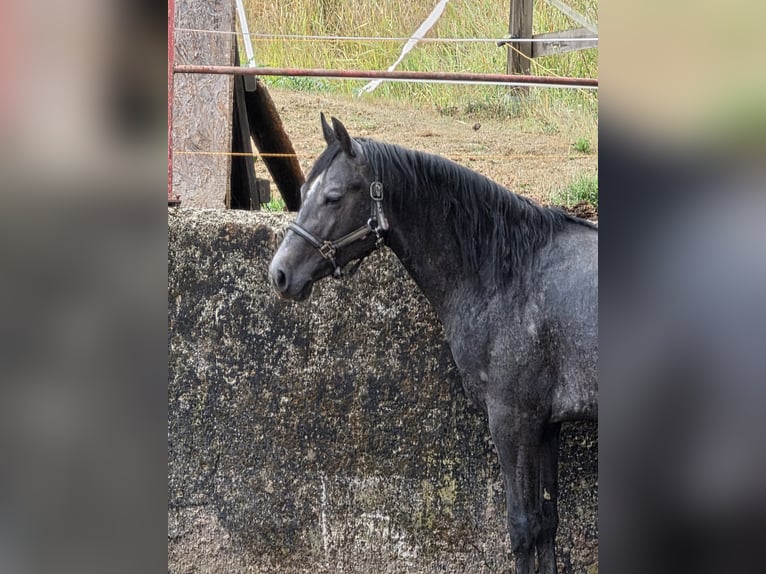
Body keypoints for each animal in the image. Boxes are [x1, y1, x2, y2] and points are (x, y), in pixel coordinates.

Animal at [269, 114, 598, 574]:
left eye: (332, 197)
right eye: (301, 193)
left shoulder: (513, 421)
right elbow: (548, 522)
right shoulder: (548, 424)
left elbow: (523, 527)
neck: (508, 274)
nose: (279, 274)